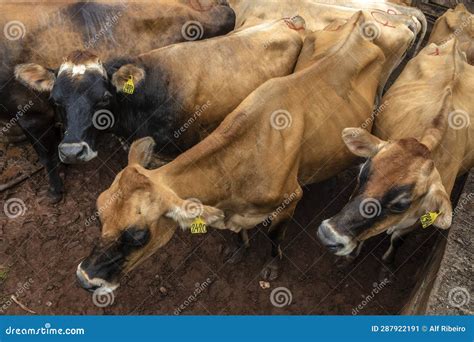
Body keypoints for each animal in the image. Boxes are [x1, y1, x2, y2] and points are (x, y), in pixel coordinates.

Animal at [73, 12, 412, 292]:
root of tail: (361, 16)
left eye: (138, 235)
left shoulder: (290, 199)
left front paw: (272, 266)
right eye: (99, 213)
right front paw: (238, 249)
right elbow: (238, 236)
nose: (85, 278)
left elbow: (275, 238)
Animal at [318, 38, 474, 272]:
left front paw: (388, 262)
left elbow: (398, 240)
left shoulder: (417, 220)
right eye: (362, 174)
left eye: (401, 204)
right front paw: (350, 257)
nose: (328, 236)